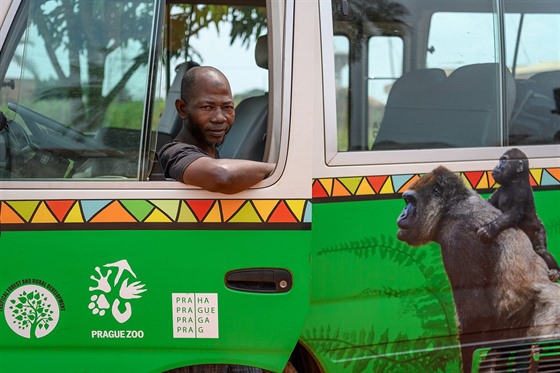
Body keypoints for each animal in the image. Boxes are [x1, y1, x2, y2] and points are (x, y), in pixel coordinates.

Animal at [476, 147, 560, 280]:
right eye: (500, 160)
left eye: (504, 160)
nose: (497, 166)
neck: (514, 179)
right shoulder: (500, 189)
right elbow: (487, 203)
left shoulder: (520, 189)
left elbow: (514, 212)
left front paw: (490, 229)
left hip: (540, 229)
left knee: (541, 250)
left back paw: (556, 271)